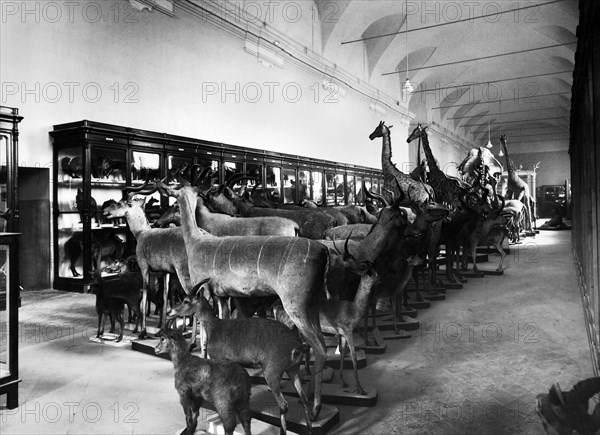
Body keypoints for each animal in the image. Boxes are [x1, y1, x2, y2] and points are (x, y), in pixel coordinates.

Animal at [156, 179, 328, 420]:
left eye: (173, 200)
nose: (157, 220)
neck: (195, 242)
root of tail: (324, 252)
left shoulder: (206, 291)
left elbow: (204, 333)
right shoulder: (222, 295)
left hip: (296, 303)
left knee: (319, 348)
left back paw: (315, 407)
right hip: (313, 303)